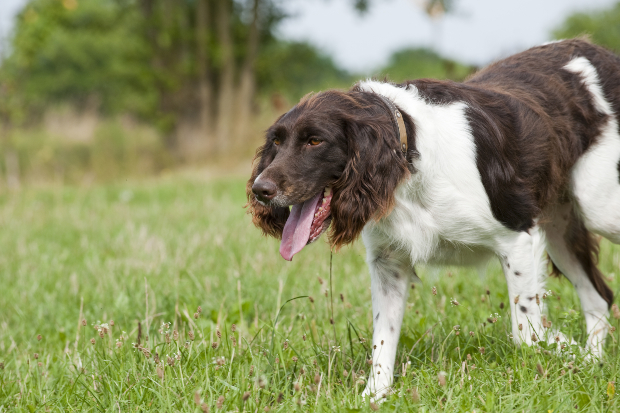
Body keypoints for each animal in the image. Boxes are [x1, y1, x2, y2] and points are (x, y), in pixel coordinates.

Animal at [247, 40, 620, 398]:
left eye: (315, 140)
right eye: (277, 141)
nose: (259, 189)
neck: (406, 161)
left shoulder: (517, 237)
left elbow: (526, 332)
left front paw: (565, 348)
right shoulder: (388, 263)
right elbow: (383, 338)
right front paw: (375, 394)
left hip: (595, 206)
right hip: (560, 223)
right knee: (598, 298)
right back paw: (594, 358)